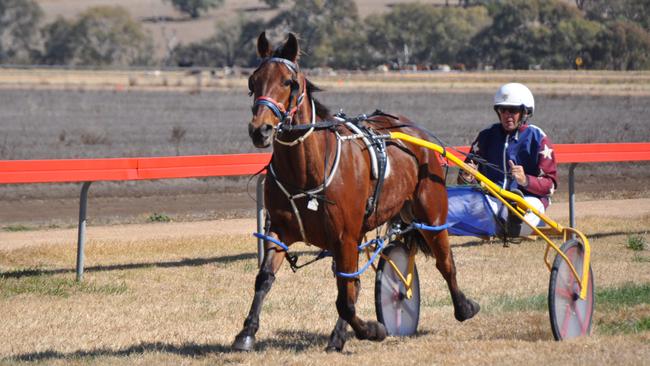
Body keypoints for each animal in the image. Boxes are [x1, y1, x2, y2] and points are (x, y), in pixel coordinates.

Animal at [233, 33, 476, 354]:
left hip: (431, 212)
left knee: (444, 261)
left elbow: (345, 300)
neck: (306, 170)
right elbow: (264, 279)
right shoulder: (281, 231)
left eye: (289, 82)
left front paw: (374, 329)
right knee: (351, 284)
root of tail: (411, 129)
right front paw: (246, 332)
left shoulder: (344, 237)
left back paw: (463, 307)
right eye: (253, 81)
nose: (260, 130)